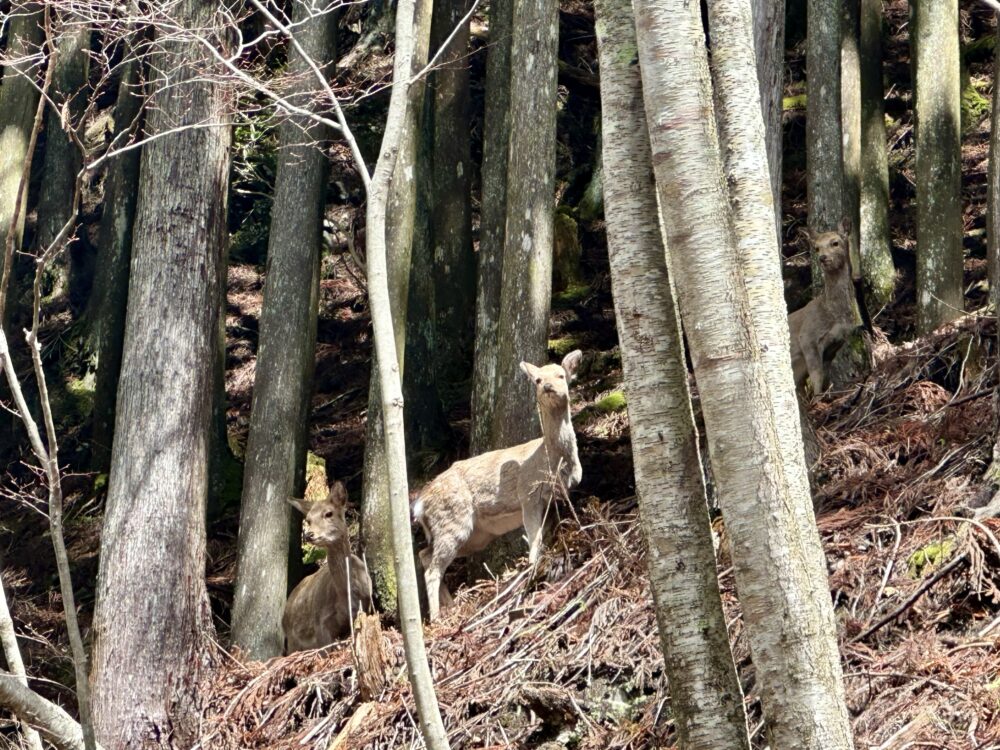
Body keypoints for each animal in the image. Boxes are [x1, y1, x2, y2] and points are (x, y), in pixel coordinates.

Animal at [282, 481, 373, 653]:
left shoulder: (363, 607)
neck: (345, 595)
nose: (309, 535)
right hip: (292, 638)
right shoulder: (320, 621)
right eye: (308, 519)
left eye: (329, 513)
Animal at [413, 350, 583, 621]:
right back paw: (438, 617)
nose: (547, 387)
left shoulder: (555, 498)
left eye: (561, 375)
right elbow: (534, 538)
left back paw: (450, 606)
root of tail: (420, 503)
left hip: (476, 534)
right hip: (453, 521)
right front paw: (531, 569)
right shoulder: (528, 494)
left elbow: (545, 535)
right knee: (432, 567)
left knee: (425, 556)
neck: (554, 461)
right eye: (537, 379)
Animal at [788, 218, 862, 396]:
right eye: (816, 247)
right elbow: (817, 374)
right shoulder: (807, 336)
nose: (822, 257)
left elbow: (825, 375)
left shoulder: (838, 341)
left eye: (835, 242)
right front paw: (818, 398)